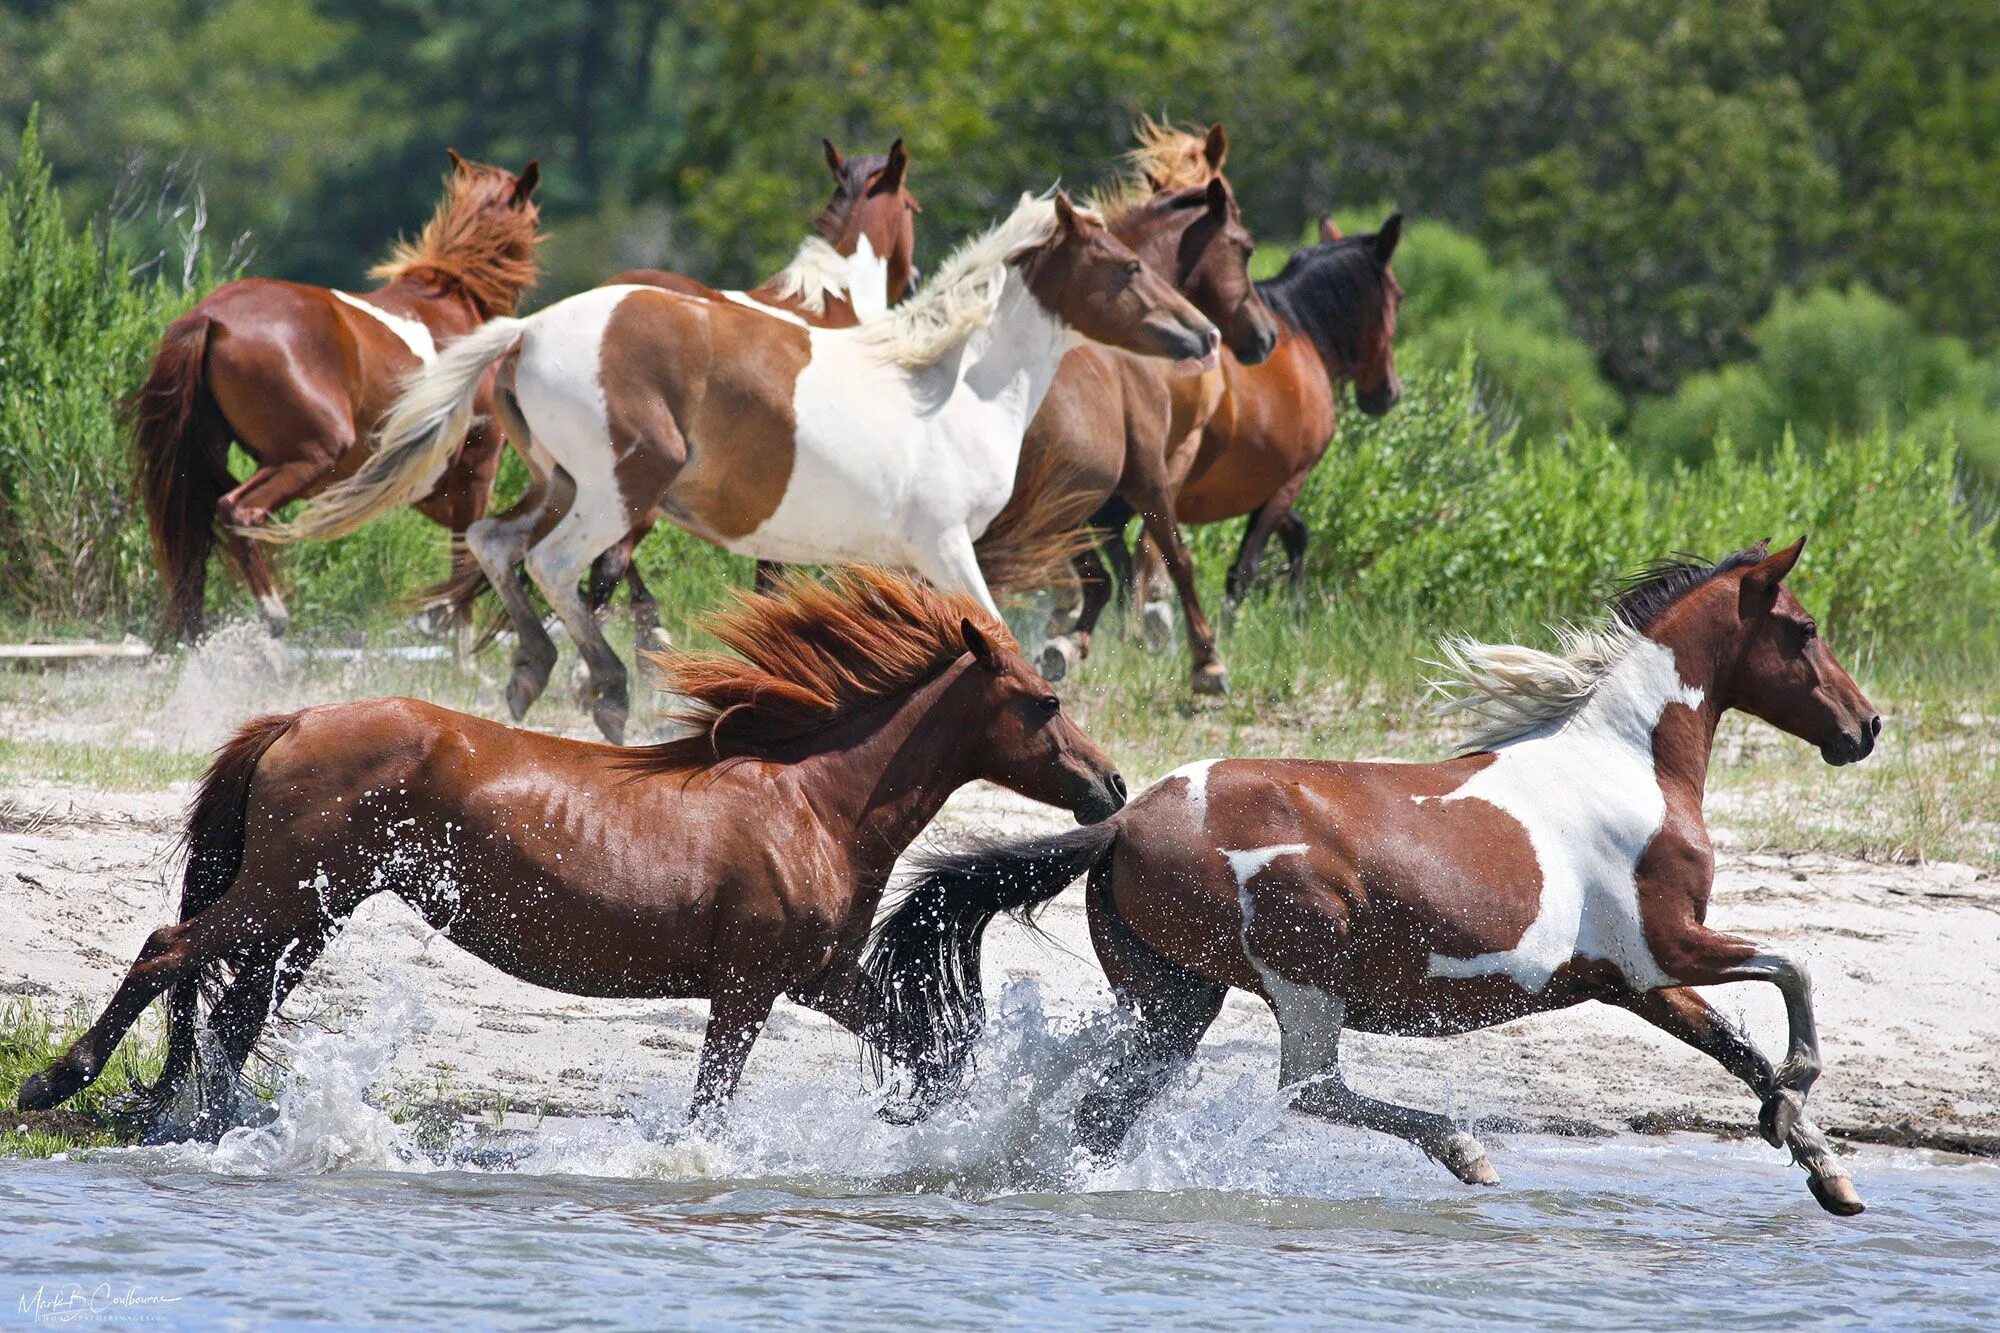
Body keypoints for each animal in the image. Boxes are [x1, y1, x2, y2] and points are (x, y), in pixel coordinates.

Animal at [15, 564, 1128, 1136]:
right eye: (1044, 701)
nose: (1111, 786)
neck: (812, 803)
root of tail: (297, 718)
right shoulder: (748, 988)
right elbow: (709, 1106)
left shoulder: (817, 975)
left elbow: (928, 1048)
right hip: (284, 893)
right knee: (169, 951)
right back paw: (58, 1084)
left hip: (312, 909)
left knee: (234, 1012)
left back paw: (210, 1125)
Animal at [134, 150, 544, 640]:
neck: (456, 307)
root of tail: (209, 316)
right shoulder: (475, 473)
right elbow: (470, 568)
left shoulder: (424, 486)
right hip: (312, 455)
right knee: (238, 511)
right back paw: (274, 616)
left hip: (208, 458)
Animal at [276, 193, 1224, 740]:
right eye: (1128, 266)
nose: (1206, 335)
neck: (951, 386)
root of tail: (529, 330)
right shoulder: (946, 545)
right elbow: (991, 631)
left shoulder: (904, 561)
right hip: (622, 489)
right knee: (551, 562)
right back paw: (607, 687)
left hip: (559, 482)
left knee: (494, 543)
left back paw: (534, 669)